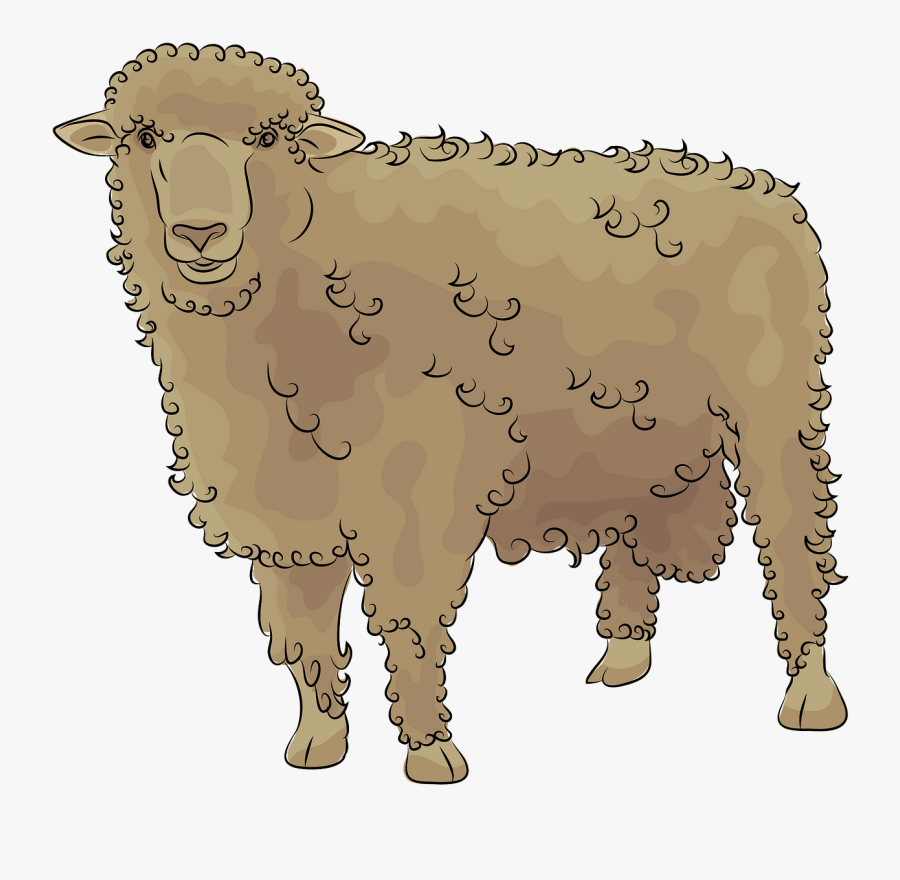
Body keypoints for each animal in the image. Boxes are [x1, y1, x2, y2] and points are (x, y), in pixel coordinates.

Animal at [55, 42, 847, 784]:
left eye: (270, 138)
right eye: (144, 136)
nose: (200, 232)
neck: (311, 262)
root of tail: (759, 185)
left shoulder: (413, 492)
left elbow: (409, 625)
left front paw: (430, 750)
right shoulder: (292, 510)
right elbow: (304, 635)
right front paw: (318, 741)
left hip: (776, 410)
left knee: (794, 539)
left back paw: (810, 694)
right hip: (639, 435)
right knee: (636, 538)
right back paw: (622, 657)